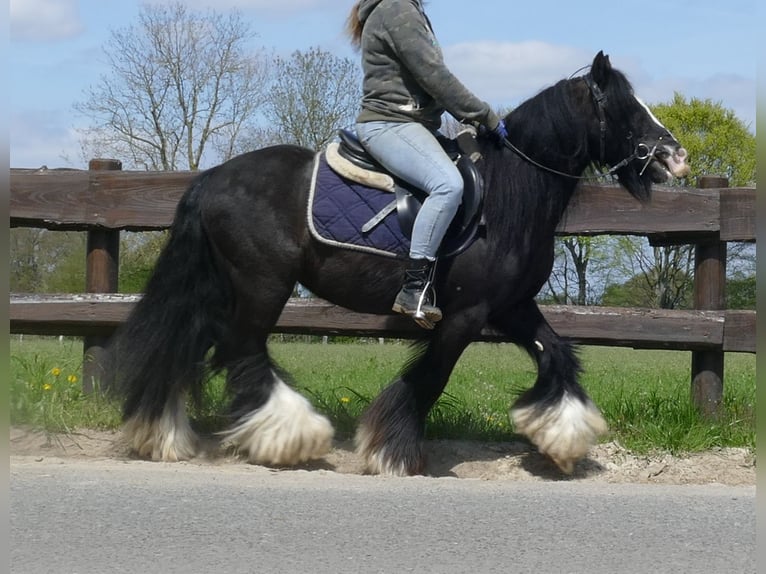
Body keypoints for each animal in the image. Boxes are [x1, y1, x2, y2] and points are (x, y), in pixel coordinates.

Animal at [108, 53, 688, 476]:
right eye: (625, 108)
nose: (675, 157)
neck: (508, 195)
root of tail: (212, 178)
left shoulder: (512, 306)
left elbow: (558, 355)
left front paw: (562, 438)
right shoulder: (466, 315)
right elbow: (429, 378)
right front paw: (391, 451)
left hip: (225, 286)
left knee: (190, 340)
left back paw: (163, 434)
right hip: (261, 284)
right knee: (241, 349)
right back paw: (290, 434)